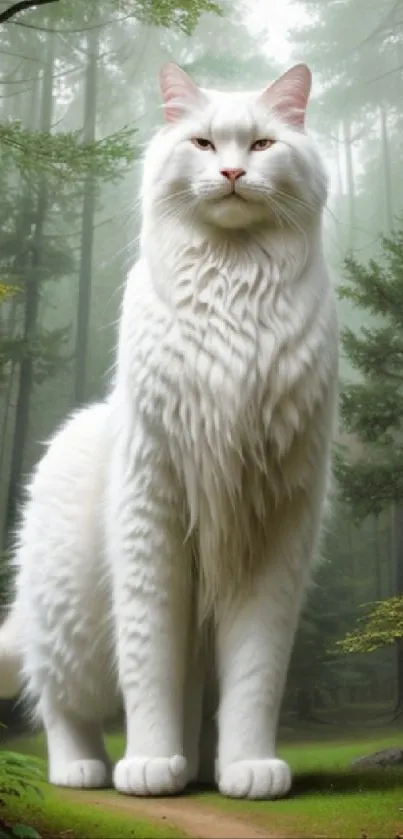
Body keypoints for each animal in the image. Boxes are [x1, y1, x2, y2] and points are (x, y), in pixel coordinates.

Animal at [0, 64, 338, 800]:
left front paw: (247, 767)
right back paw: (88, 770)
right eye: (204, 143)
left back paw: (201, 766)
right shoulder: (152, 511)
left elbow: (255, 677)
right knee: (59, 703)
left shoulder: (275, 526)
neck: (234, 291)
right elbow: (148, 661)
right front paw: (149, 766)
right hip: (75, 625)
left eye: (263, 144)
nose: (234, 172)